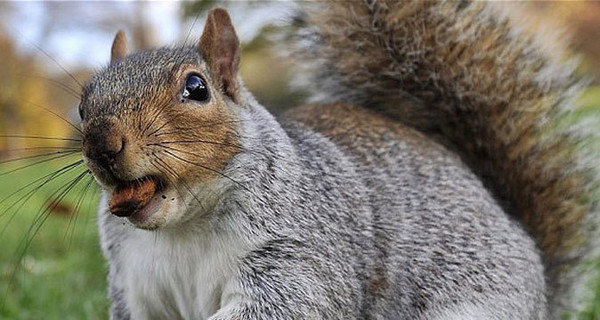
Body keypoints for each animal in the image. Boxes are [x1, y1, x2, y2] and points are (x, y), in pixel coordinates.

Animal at [77, 0, 596, 320]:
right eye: (83, 103)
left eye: (196, 87)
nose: (102, 143)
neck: (179, 229)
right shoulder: (133, 285)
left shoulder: (300, 253)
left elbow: (296, 302)